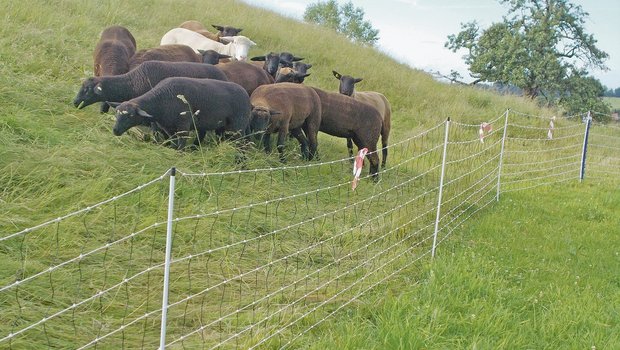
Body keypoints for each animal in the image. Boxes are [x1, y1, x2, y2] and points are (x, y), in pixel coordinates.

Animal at [109, 77, 252, 150]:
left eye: (130, 116)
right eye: (116, 114)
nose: (115, 130)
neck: (159, 101)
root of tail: (245, 94)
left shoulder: (183, 125)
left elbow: (181, 143)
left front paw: (180, 153)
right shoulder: (168, 127)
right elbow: (173, 141)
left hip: (238, 125)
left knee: (241, 142)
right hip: (222, 126)